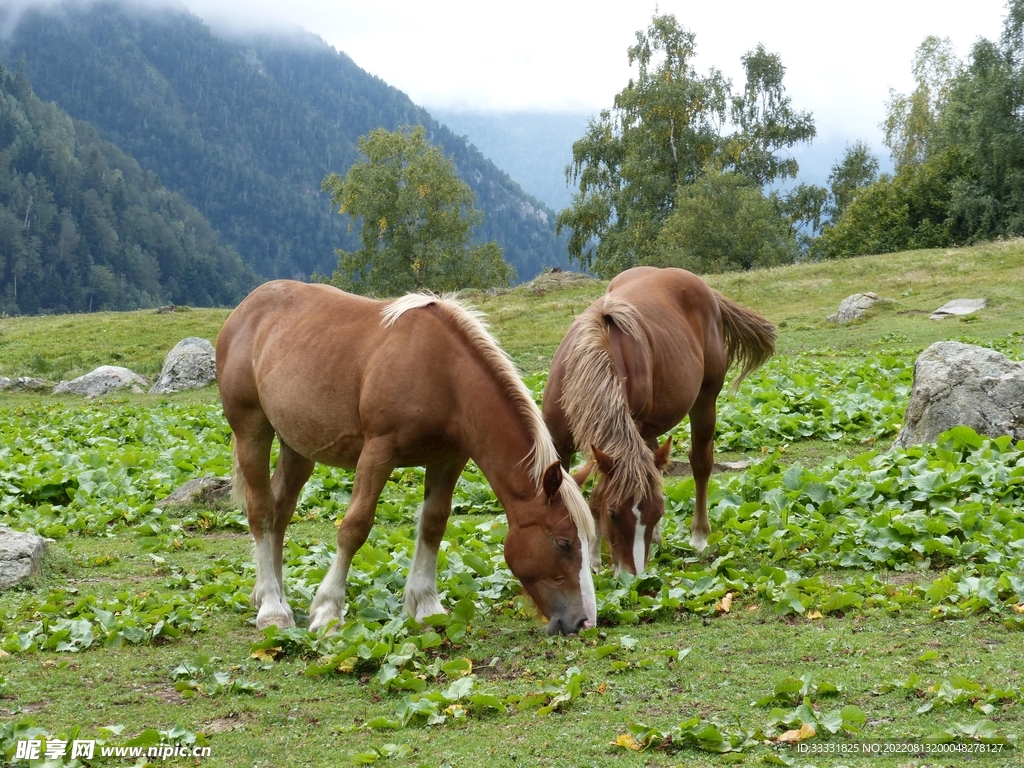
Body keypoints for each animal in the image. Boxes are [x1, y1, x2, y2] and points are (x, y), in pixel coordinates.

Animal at [216, 280, 597, 636]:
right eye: (563, 543)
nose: (584, 621)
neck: (443, 374)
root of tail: (246, 309)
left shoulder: (449, 459)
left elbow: (433, 523)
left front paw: (426, 607)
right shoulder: (378, 453)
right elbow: (354, 528)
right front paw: (328, 611)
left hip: (297, 448)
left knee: (281, 512)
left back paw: (271, 595)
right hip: (252, 431)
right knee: (262, 512)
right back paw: (272, 608)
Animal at [542, 266, 775, 575]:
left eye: (660, 511)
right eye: (613, 513)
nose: (633, 577)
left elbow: (597, 493)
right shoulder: (560, 446)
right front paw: (589, 559)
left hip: (704, 402)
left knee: (701, 463)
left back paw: (698, 535)